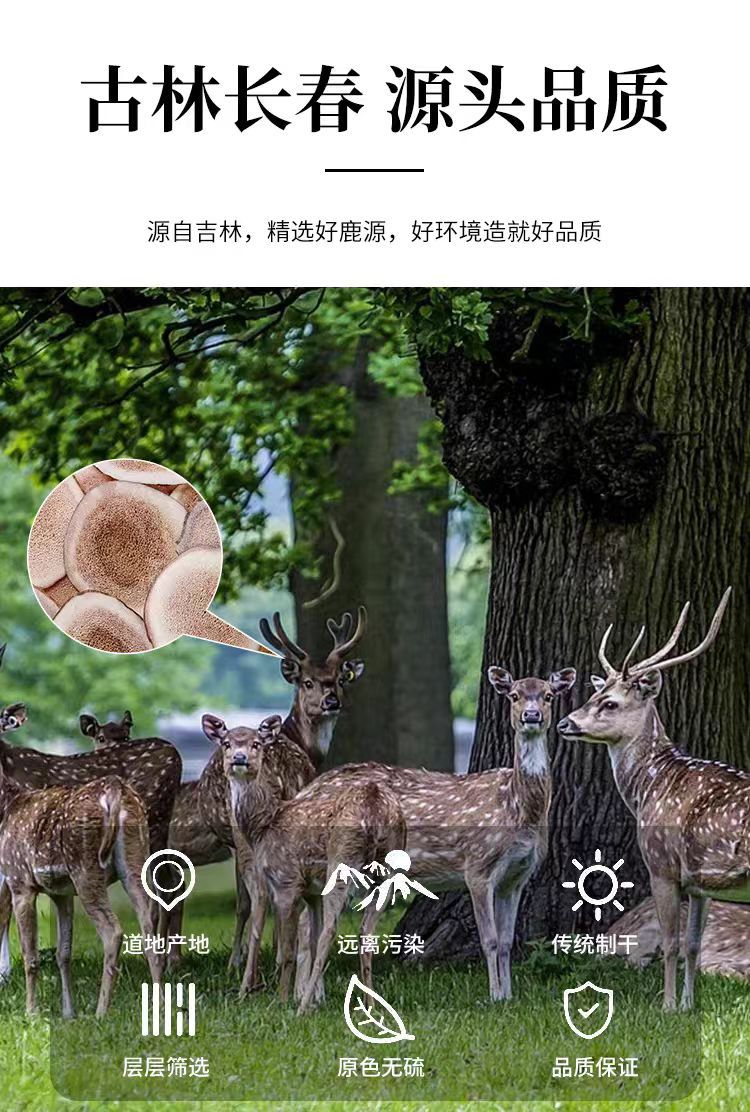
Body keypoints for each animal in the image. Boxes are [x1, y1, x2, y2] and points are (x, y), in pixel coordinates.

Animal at [0, 693, 162, 1016]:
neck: (5, 804)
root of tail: (116, 790)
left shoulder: (19, 880)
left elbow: (30, 956)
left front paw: (32, 1013)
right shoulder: (61, 892)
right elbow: (63, 953)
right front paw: (68, 1013)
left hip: (86, 866)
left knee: (113, 932)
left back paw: (101, 1012)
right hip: (135, 857)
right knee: (148, 922)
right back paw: (162, 1003)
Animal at [208, 713, 405, 1012]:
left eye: (256, 744)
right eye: (226, 743)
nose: (239, 759)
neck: (264, 826)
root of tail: (376, 806)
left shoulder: (287, 880)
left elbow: (289, 949)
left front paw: (283, 1000)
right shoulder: (312, 891)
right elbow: (308, 939)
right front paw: (311, 1000)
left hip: (342, 860)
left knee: (331, 932)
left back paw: (301, 1010)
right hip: (392, 867)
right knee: (366, 933)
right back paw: (371, 1005)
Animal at [289, 665, 577, 1001]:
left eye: (548, 695)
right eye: (515, 695)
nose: (531, 715)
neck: (517, 809)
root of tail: (305, 791)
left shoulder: (517, 876)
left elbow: (507, 942)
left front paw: (509, 996)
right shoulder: (478, 865)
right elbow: (490, 940)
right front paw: (494, 997)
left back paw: (308, 994)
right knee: (309, 922)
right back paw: (308, 994)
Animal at [557, 588, 746, 1010]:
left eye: (610, 702)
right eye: (594, 693)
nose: (564, 723)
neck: (649, 788)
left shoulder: (660, 864)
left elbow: (673, 944)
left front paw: (668, 1007)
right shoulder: (700, 882)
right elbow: (692, 945)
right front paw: (689, 1005)